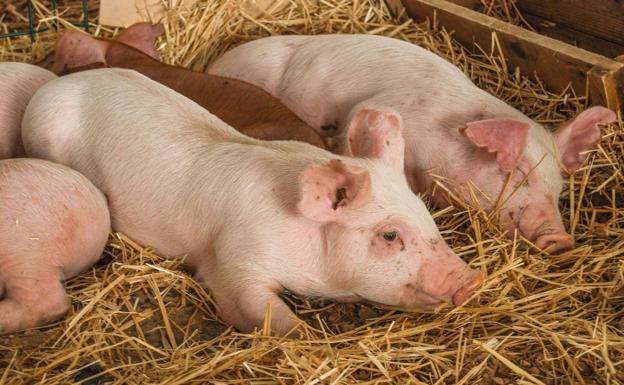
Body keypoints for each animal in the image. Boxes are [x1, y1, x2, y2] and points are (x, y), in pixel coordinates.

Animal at [22, 69, 482, 336]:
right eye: (389, 235)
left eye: (426, 213)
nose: (471, 279)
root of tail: (50, 86)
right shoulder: (234, 259)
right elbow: (262, 313)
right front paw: (304, 337)